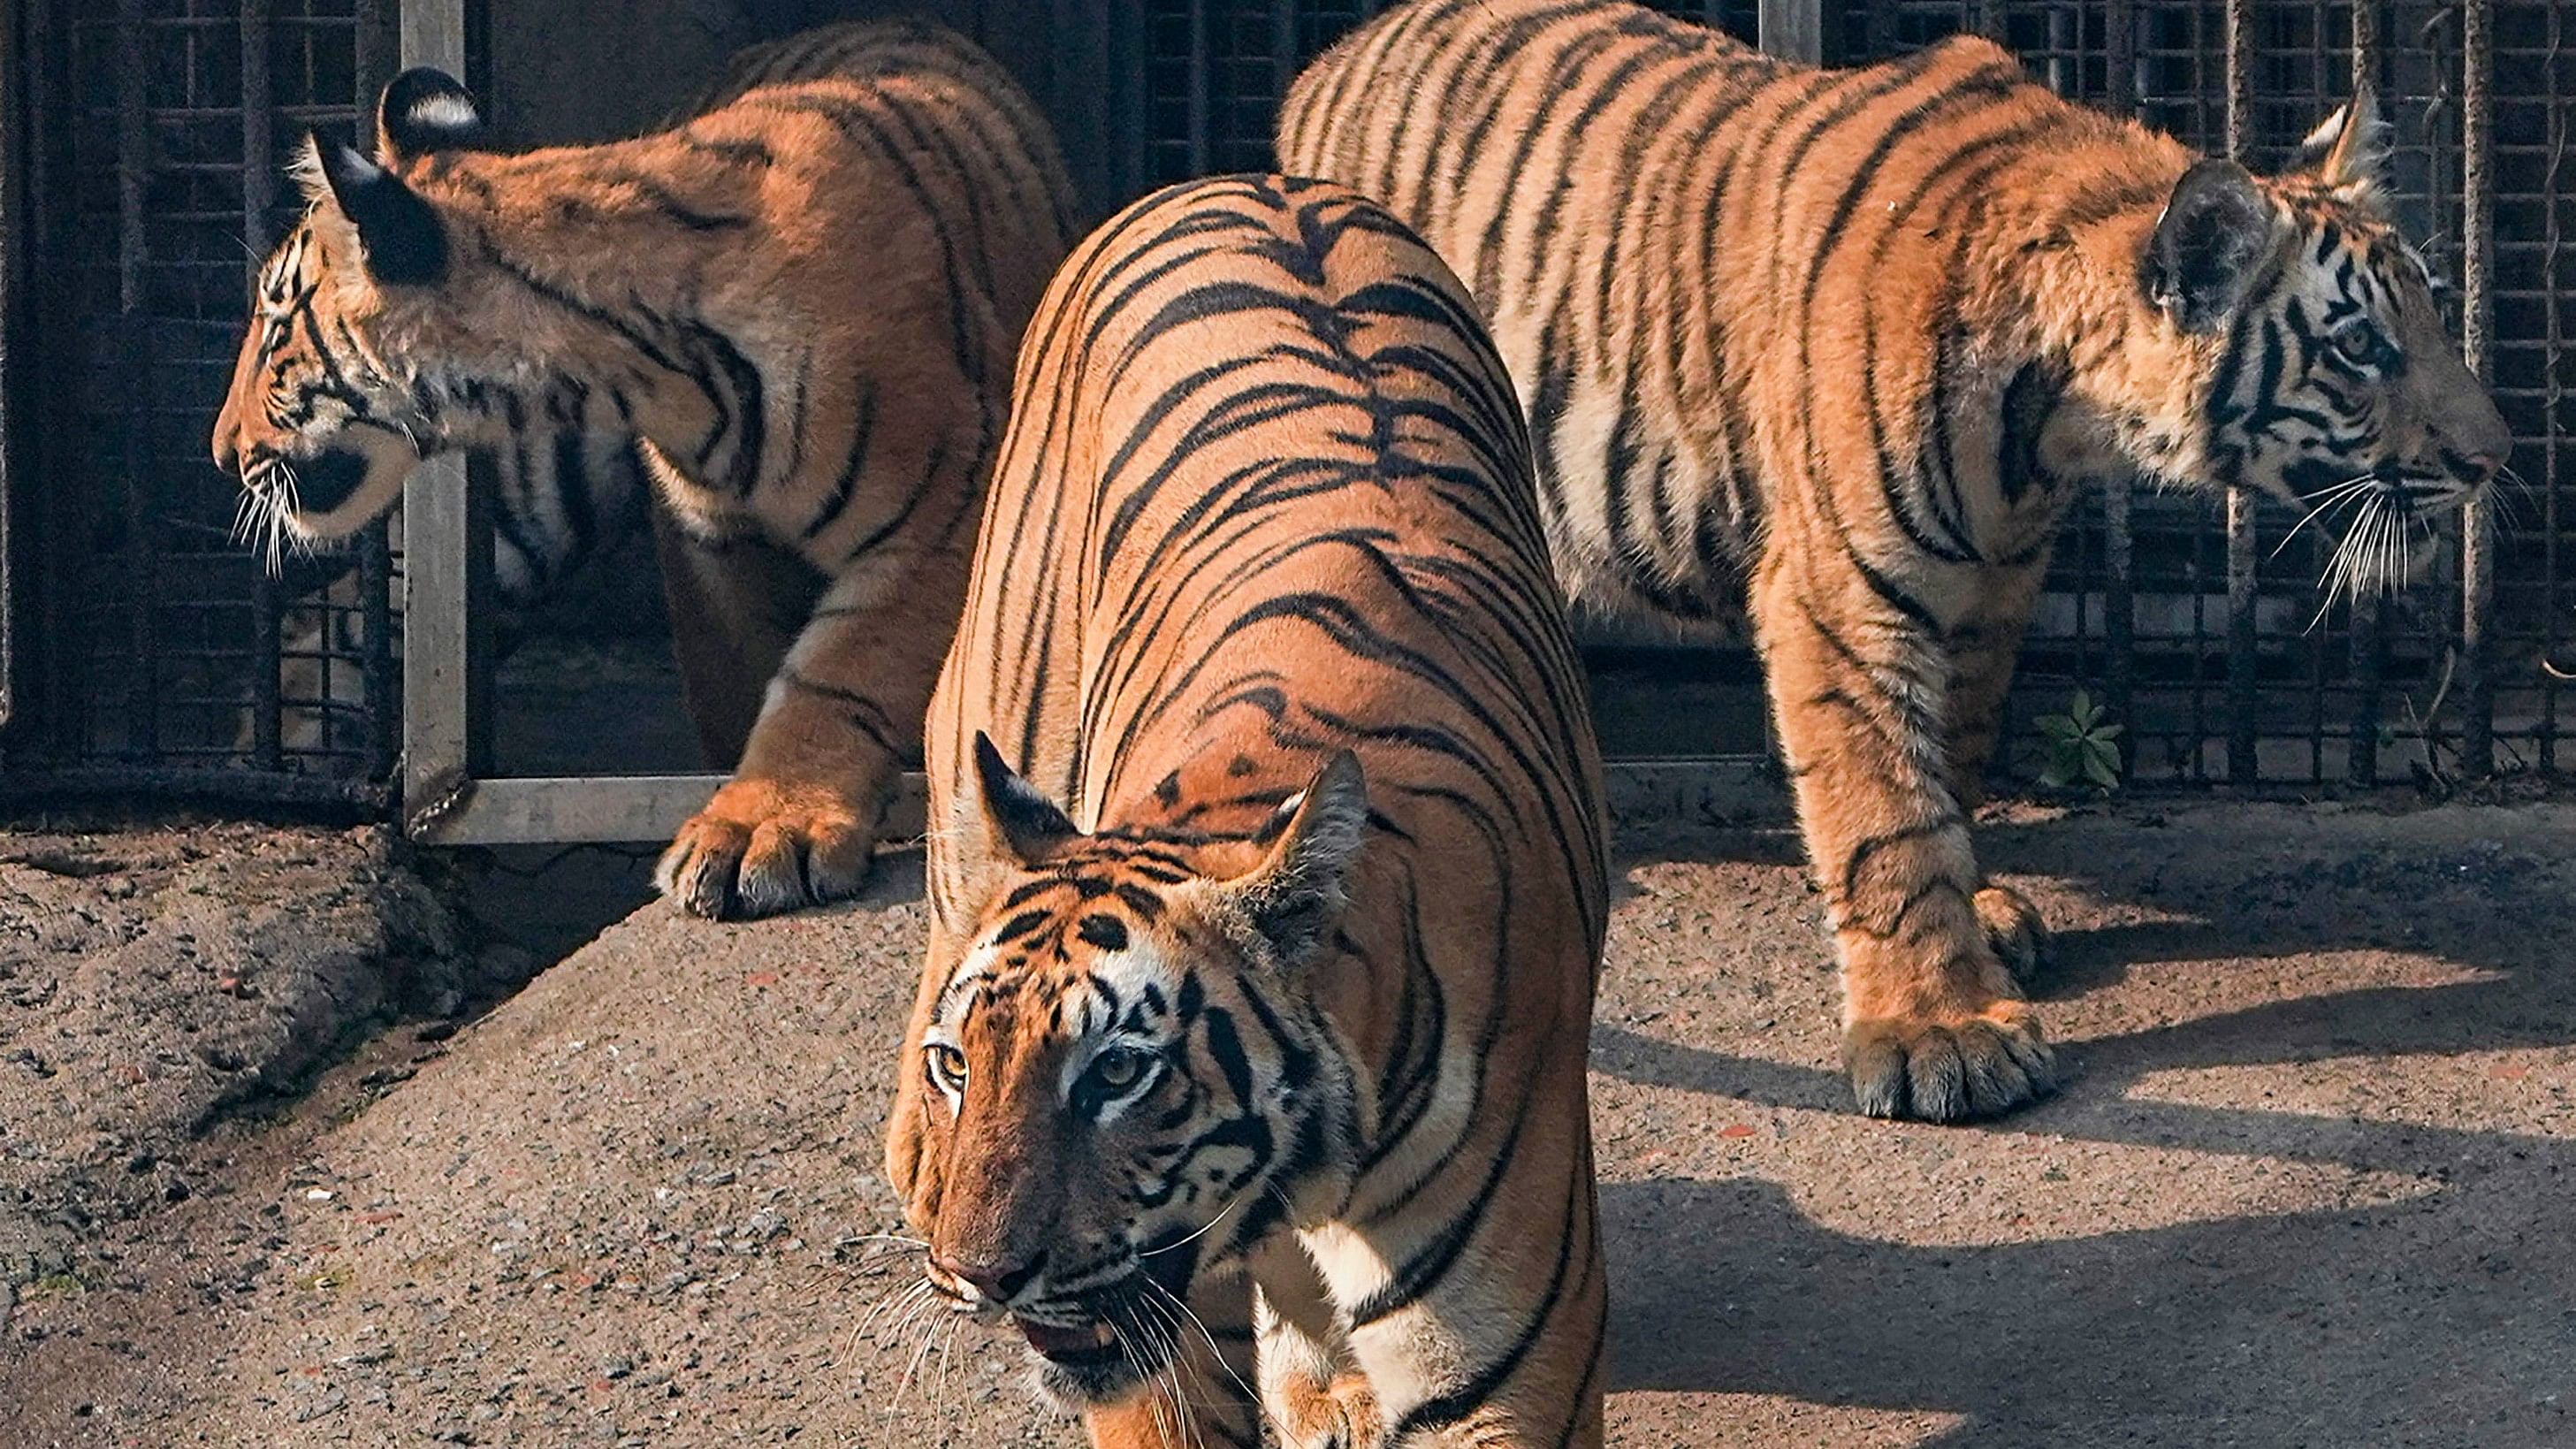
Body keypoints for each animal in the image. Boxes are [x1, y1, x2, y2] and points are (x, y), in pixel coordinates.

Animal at [209, 17, 1077, 912]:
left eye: (275, 331)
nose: (222, 450)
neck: (634, 370)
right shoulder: (706, 540)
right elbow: (743, 679)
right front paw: (743, 818)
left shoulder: (947, 504)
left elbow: (842, 672)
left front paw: (771, 828)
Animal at [886, 178, 1607, 1444]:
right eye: (957, 1065)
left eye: (1117, 1075)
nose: (980, 1276)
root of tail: (1245, 180)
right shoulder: (1150, 1357)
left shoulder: (1511, 1379)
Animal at [1277, 0, 2504, 1118]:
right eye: (2359, 348)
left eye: (2433, 317)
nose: (2493, 457)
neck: (2057, 419)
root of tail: (1326, 62)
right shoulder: (1840, 592)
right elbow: (1883, 813)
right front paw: (1936, 1031)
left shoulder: (1995, 582)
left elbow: (1951, 756)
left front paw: (1982, 915)